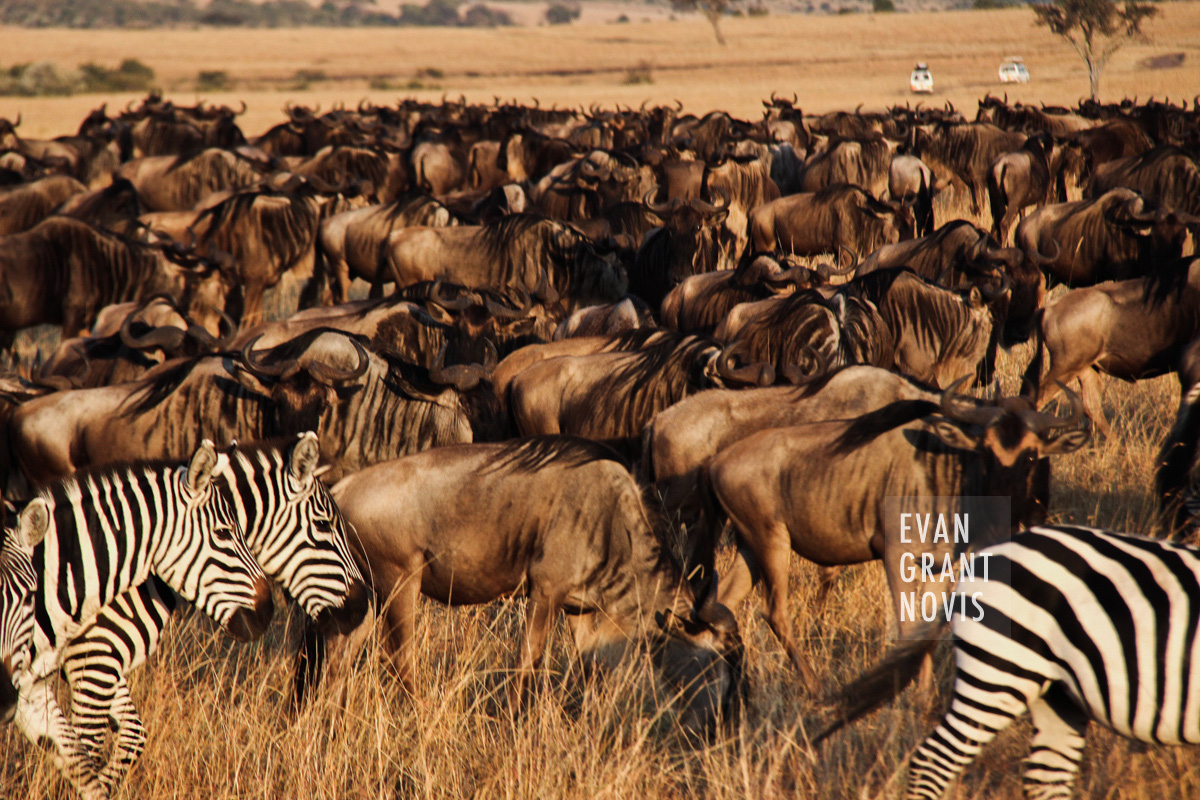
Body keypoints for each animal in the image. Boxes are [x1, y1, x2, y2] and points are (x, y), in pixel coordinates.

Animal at [11, 441, 274, 800]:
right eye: (223, 533)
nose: (269, 611)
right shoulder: (94, 661)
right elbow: (90, 750)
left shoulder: (59, 680)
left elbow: (115, 747)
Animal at [52, 434, 369, 796]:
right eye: (323, 525)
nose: (363, 606)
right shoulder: (94, 658)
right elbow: (87, 750)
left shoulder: (101, 663)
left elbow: (132, 737)